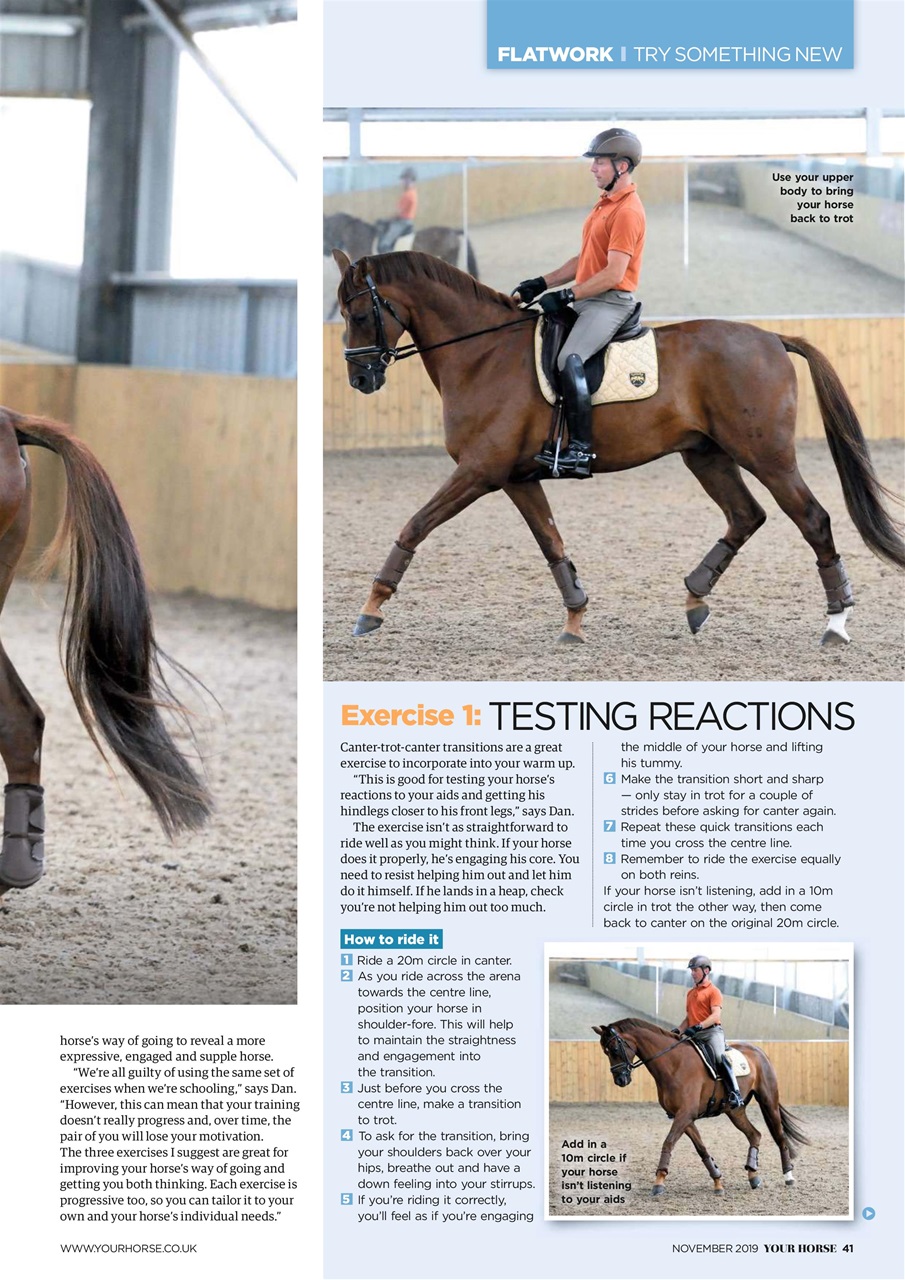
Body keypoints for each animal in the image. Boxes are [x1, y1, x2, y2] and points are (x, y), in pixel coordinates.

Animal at [333, 250, 905, 647]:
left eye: (358, 315)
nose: (361, 379)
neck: (481, 354)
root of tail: (772, 339)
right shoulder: (515, 477)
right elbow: (552, 545)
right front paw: (575, 619)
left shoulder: (479, 471)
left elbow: (415, 525)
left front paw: (371, 608)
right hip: (706, 454)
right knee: (747, 516)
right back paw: (695, 597)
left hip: (766, 456)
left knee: (812, 520)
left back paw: (836, 623)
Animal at [593, 1019, 810, 1196]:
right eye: (605, 1052)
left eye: (615, 1050)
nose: (620, 1080)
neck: (673, 1064)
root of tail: (759, 1051)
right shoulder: (683, 1117)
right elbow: (701, 1149)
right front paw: (718, 1182)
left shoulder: (685, 1114)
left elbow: (668, 1143)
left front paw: (659, 1182)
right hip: (735, 1111)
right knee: (755, 1134)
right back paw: (753, 1175)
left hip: (768, 1101)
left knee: (780, 1136)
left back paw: (788, 1176)